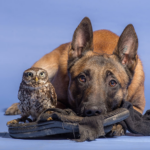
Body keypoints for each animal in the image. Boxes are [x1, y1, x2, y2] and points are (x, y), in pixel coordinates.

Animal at [5, 17, 145, 135]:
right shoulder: (56, 100)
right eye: (82, 78)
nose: (92, 112)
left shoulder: (137, 108)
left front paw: (118, 124)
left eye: (112, 82)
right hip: (45, 65)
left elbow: (129, 114)